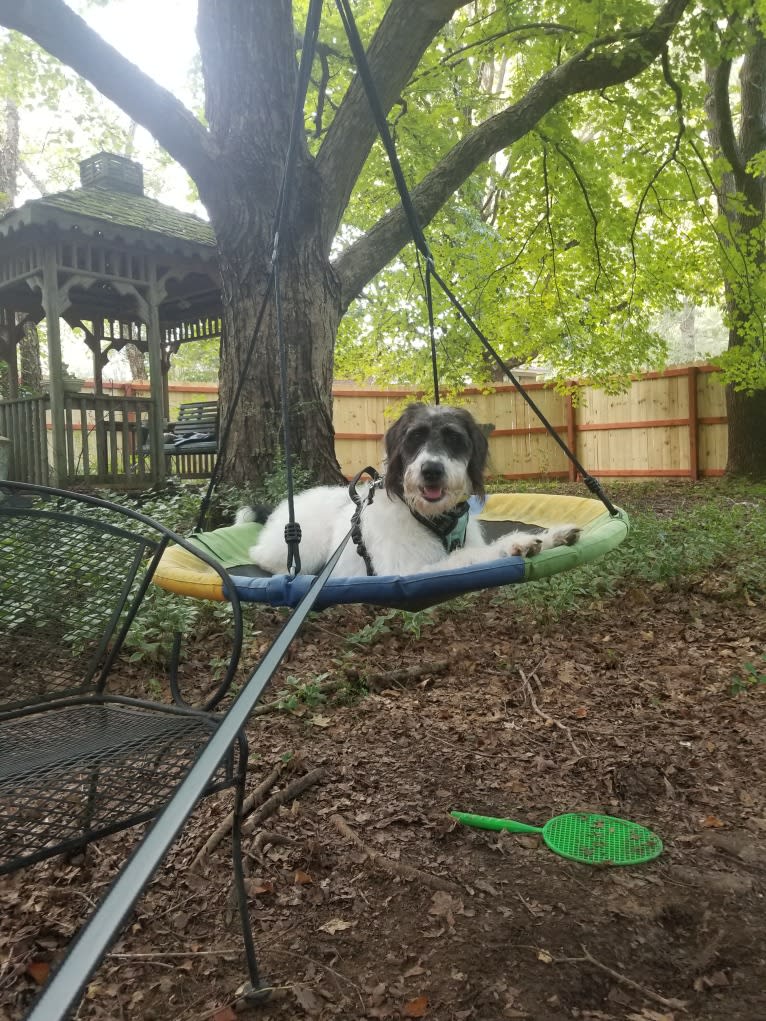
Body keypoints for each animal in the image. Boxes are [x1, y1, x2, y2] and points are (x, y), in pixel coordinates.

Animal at [236, 402, 580, 579]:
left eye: (455, 439)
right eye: (414, 437)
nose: (431, 470)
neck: (433, 518)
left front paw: (553, 536)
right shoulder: (411, 571)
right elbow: (470, 556)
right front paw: (517, 543)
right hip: (301, 548)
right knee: (260, 555)